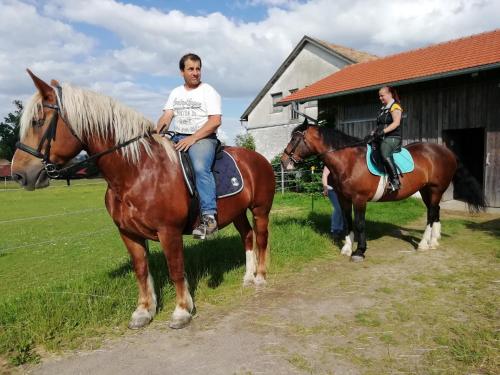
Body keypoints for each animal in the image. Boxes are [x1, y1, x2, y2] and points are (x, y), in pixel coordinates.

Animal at [11, 70, 276, 328]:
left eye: (38, 121)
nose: (19, 174)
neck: (138, 171)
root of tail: (258, 158)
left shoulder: (169, 231)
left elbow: (175, 269)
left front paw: (182, 311)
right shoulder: (128, 233)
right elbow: (141, 271)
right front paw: (144, 311)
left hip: (260, 209)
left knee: (261, 238)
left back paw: (261, 278)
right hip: (238, 212)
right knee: (247, 236)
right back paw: (248, 277)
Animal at [282, 122, 484, 262]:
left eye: (294, 139)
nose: (284, 162)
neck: (349, 161)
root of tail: (446, 151)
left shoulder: (360, 199)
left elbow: (360, 224)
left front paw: (360, 251)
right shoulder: (343, 199)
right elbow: (347, 221)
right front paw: (347, 248)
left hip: (436, 189)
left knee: (431, 214)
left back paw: (423, 244)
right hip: (426, 190)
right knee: (435, 212)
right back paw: (434, 241)